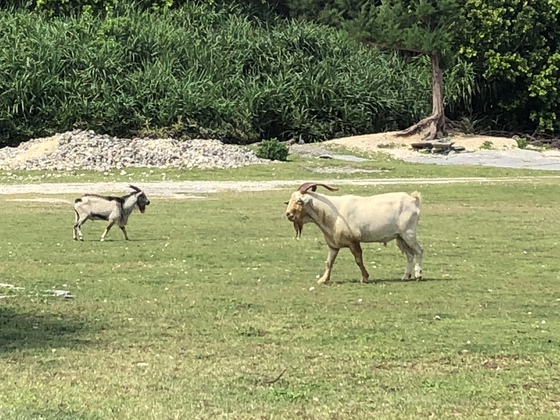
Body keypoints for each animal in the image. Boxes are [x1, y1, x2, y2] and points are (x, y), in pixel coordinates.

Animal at [284, 182, 424, 284]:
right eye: (290, 200)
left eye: (299, 201)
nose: (288, 214)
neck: (333, 213)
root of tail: (413, 200)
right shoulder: (333, 245)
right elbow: (329, 262)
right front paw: (323, 280)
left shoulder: (353, 241)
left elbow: (358, 260)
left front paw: (365, 278)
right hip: (400, 237)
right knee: (410, 254)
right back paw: (406, 276)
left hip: (408, 233)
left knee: (419, 250)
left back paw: (418, 275)